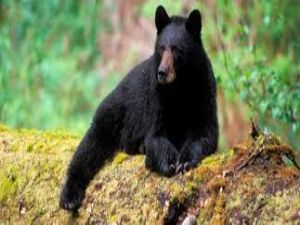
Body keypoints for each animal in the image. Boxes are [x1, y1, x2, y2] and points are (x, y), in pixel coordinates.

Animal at [59, 5, 218, 213]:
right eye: (161, 48)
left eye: (177, 50)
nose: (162, 72)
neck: (179, 87)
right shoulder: (156, 97)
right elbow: (156, 135)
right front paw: (168, 161)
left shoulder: (204, 90)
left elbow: (205, 131)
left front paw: (185, 160)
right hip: (112, 114)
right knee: (89, 147)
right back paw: (69, 197)